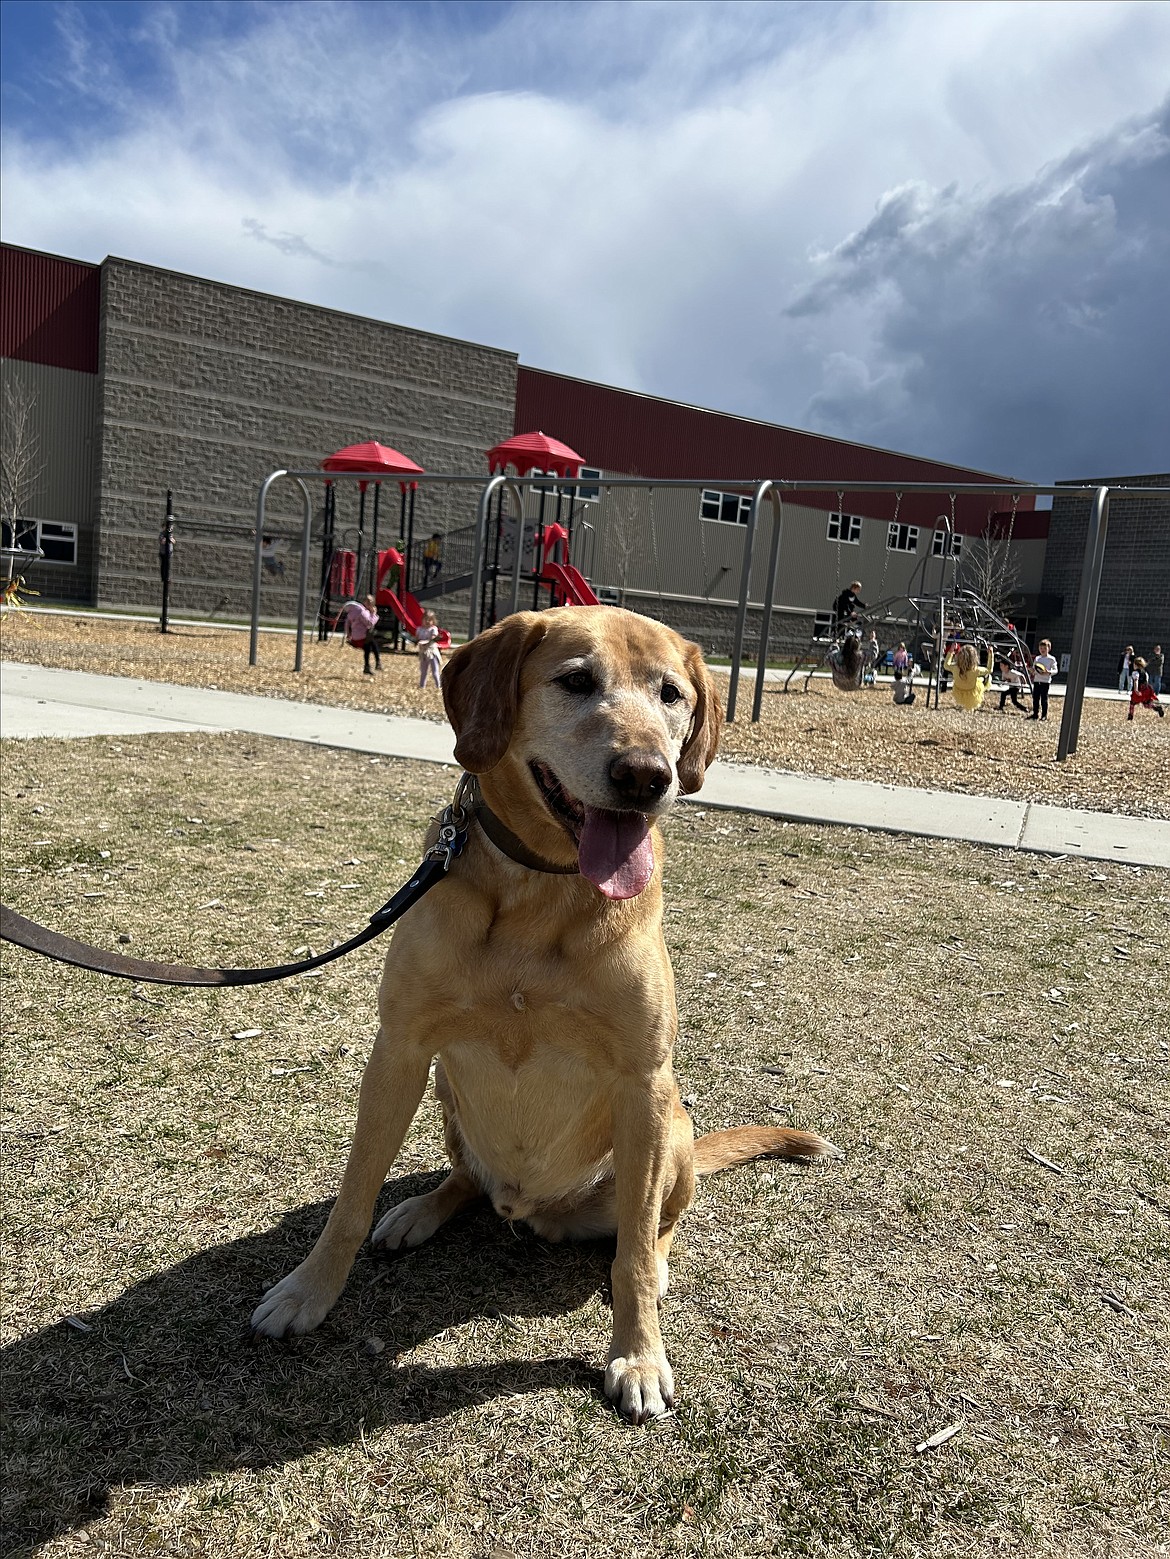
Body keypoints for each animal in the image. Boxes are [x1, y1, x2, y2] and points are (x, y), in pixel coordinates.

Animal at [254, 608, 842, 1428]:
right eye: (576, 680)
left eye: (672, 694)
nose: (647, 776)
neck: (540, 890)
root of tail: (531, 1208)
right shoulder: (399, 1050)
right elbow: (351, 1197)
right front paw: (309, 1291)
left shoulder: (642, 1079)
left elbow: (631, 1257)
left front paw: (638, 1355)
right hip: (446, 1090)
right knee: (467, 1180)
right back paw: (420, 1211)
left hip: (673, 1127)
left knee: (653, 1227)